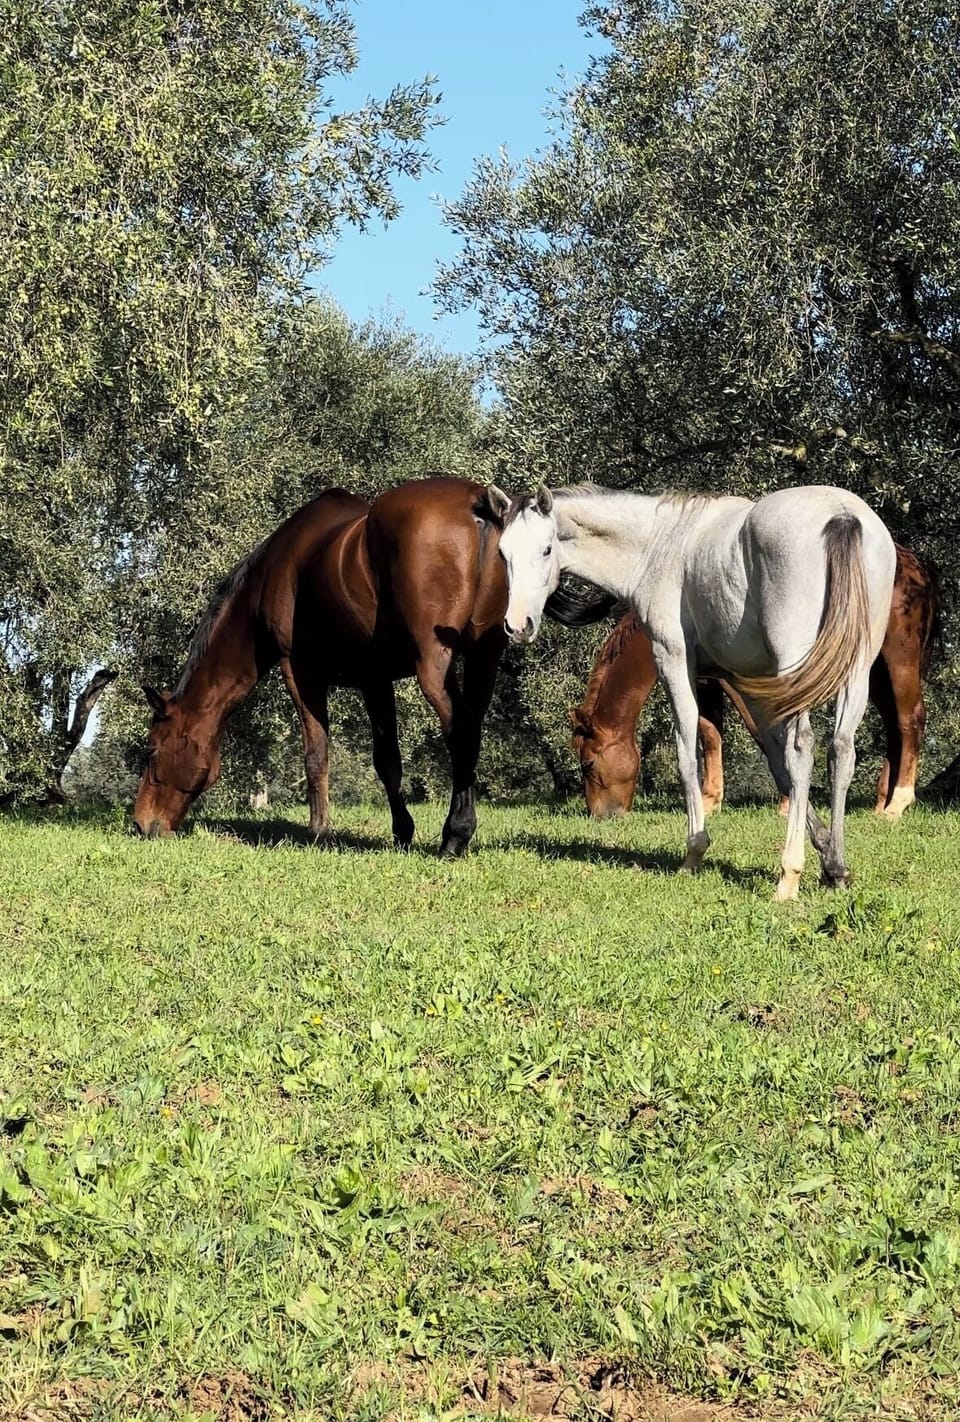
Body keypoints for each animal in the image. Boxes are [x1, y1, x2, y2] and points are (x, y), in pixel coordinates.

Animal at [133, 477, 507, 856]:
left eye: (150, 750)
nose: (140, 824)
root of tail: (477, 503)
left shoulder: (301, 672)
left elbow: (316, 754)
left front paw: (319, 830)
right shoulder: (375, 680)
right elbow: (387, 761)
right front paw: (402, 831)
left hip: (434, 670)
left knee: (460, 734)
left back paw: (456, 834)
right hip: (484, 661)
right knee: (471, 733)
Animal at [490, 481, 897, 899]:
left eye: (546, 549)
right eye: (504, 552)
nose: (517, 625)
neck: (660, 545)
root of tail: (842, 515)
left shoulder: (675, 663)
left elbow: (690, 754)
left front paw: (694, 852)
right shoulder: (746, 686)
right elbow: (775, 763)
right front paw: (828, 857)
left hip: (795, 669)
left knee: (802, 749)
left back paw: (788, 876)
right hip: (854, 672)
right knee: (840, 751)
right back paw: (838, 867)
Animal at [571, 544, 938, 823]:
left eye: (588, 764)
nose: (601, 816)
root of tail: (916, 568)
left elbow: (763, 733)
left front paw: (789, 801)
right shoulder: (706, 679)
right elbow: (710, 734)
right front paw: (711, 800)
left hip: (898, 658)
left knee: (910, 718)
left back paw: (897, 803)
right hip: (872, 671)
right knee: (894, 725)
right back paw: (881, 801)